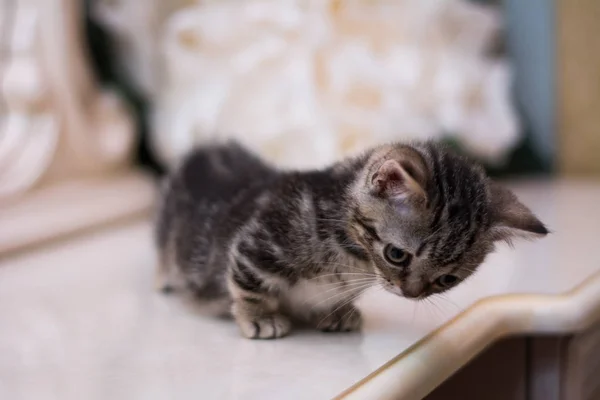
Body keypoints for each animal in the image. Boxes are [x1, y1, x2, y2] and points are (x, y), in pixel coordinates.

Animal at [156, 142, 548, 340]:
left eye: (446, 279)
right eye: (396, 254)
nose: (411, 294)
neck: (352, 257)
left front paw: (337, 311)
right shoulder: (257, 245)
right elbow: (249, 285)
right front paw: (259, 317)